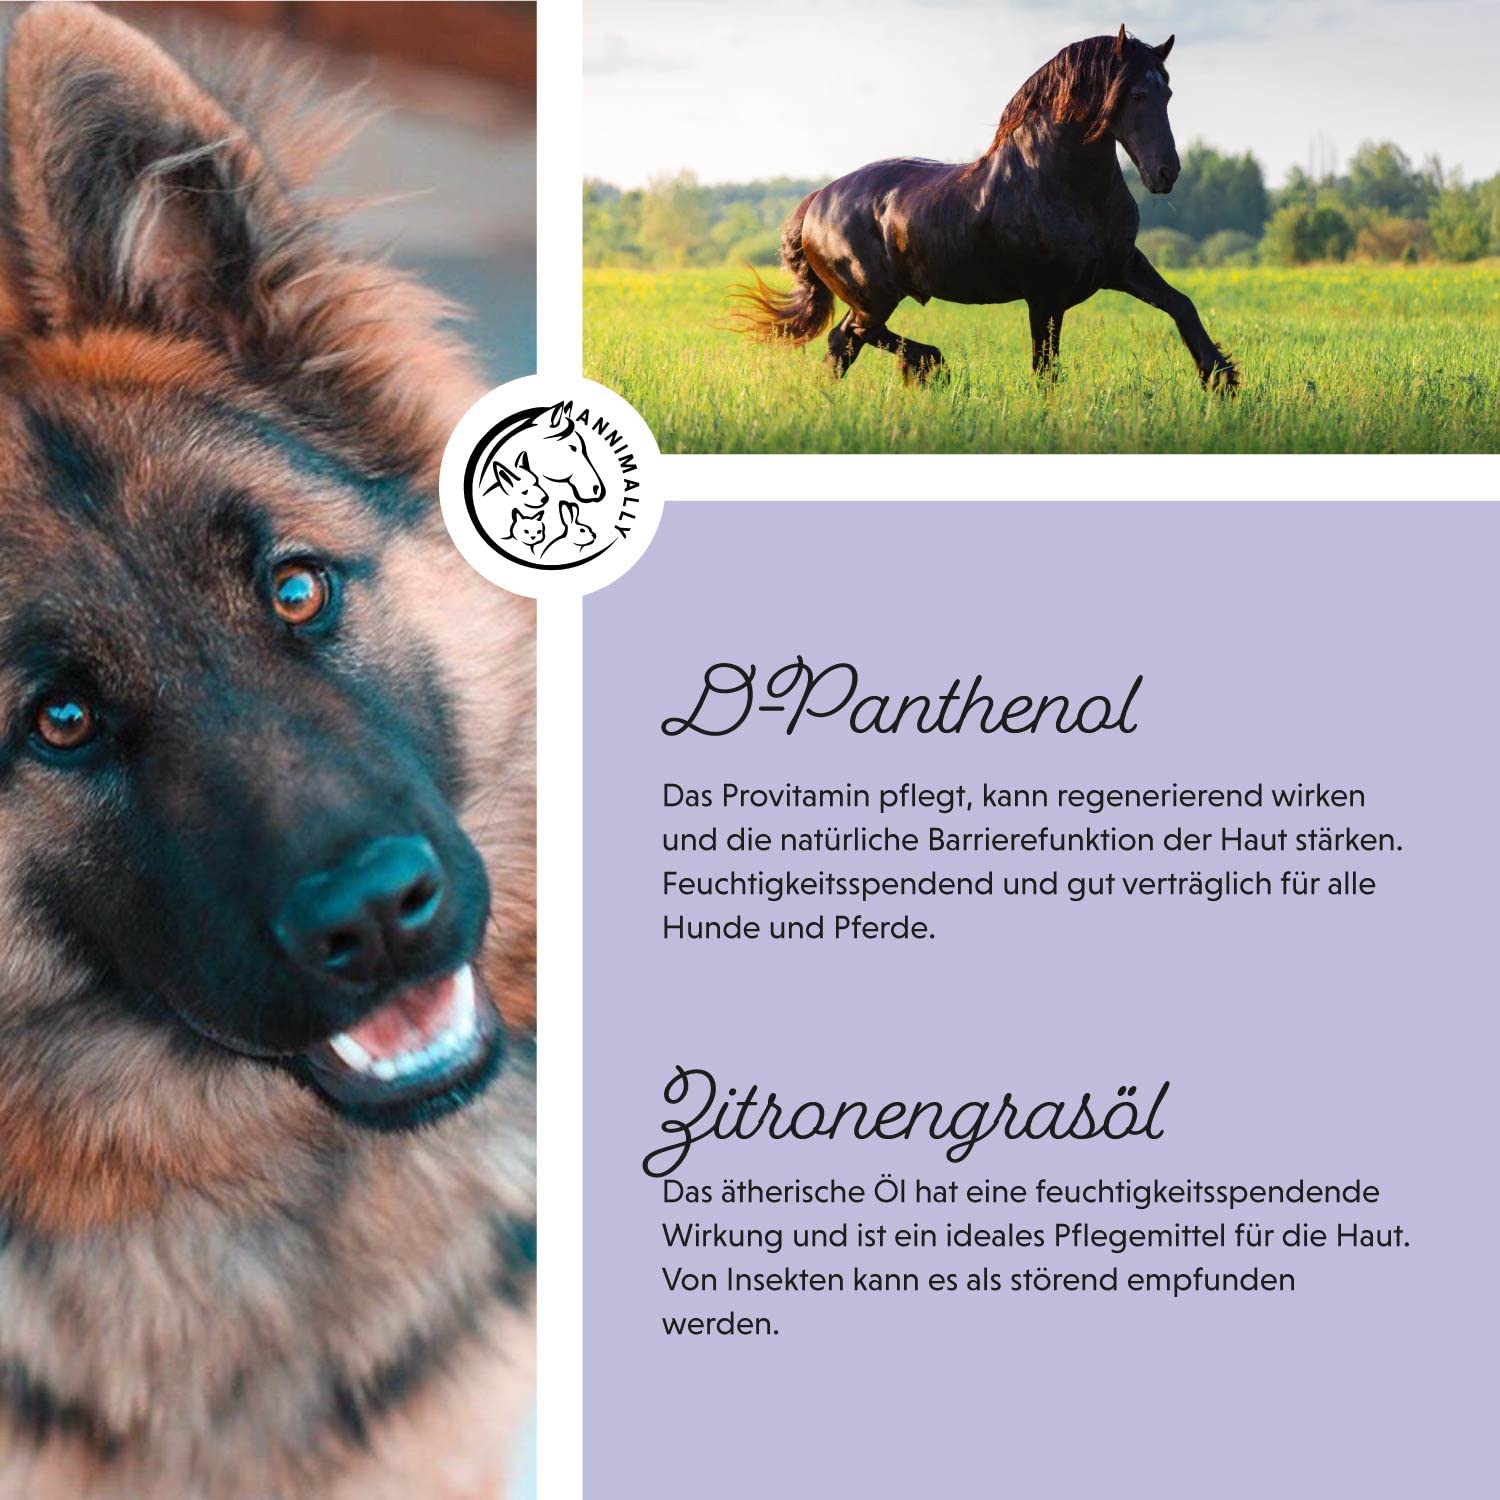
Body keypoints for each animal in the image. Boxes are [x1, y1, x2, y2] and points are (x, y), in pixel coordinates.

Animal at [729, 27, 1237, 390]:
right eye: (1133, 95)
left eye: (1166, 92)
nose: (1165, 173)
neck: (1060, 183)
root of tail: (815, 202)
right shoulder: (1046, 295)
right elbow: (1045, 369)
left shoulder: (1121, 265)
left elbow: (1181, 305)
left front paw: (1221, 379)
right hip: (873, 295)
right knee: (850, 337)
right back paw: (929, 366)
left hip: (874, 297)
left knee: (847, 343)